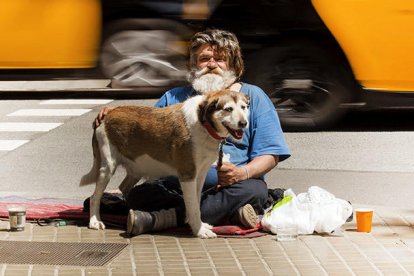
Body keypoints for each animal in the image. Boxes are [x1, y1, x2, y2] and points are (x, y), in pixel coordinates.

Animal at [80, 89, 249, 238]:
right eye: (228, 109)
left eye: (244, 107)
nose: (243, 123)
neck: (204, 123)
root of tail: (107, 114)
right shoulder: (187, 176)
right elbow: (193, 206)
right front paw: (199, 230)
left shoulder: (200, 175)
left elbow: (196, 203)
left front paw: (196, 224)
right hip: (107, 167)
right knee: (95, 197)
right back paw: (95, 221)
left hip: (136, 170)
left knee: (124, 188)